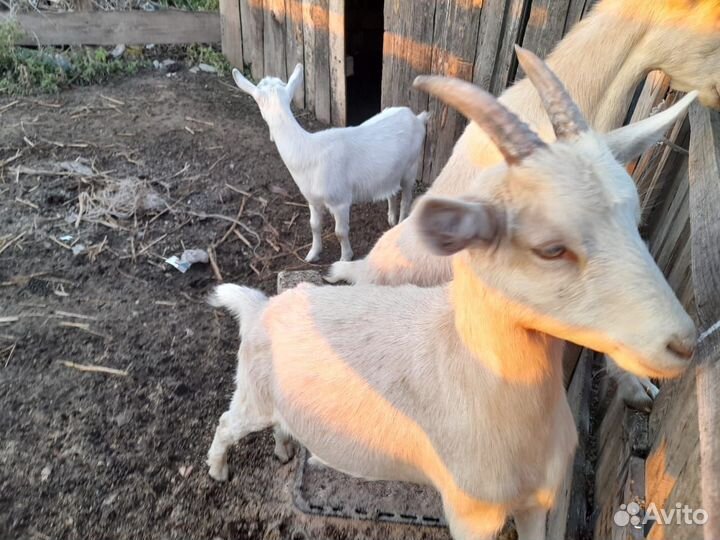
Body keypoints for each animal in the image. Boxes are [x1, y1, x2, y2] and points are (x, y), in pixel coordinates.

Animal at [231, 64, 428, 263]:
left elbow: (340, 232)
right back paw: (391, 219)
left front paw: (345, 258)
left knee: (406, 198)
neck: (307, 150)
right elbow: (314, 225)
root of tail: (417, 118)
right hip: (391, 171)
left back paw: (400, 223)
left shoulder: (340, 200)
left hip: (411, 166)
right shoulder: (312, 199)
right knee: (391, 191)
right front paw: (312, 254)